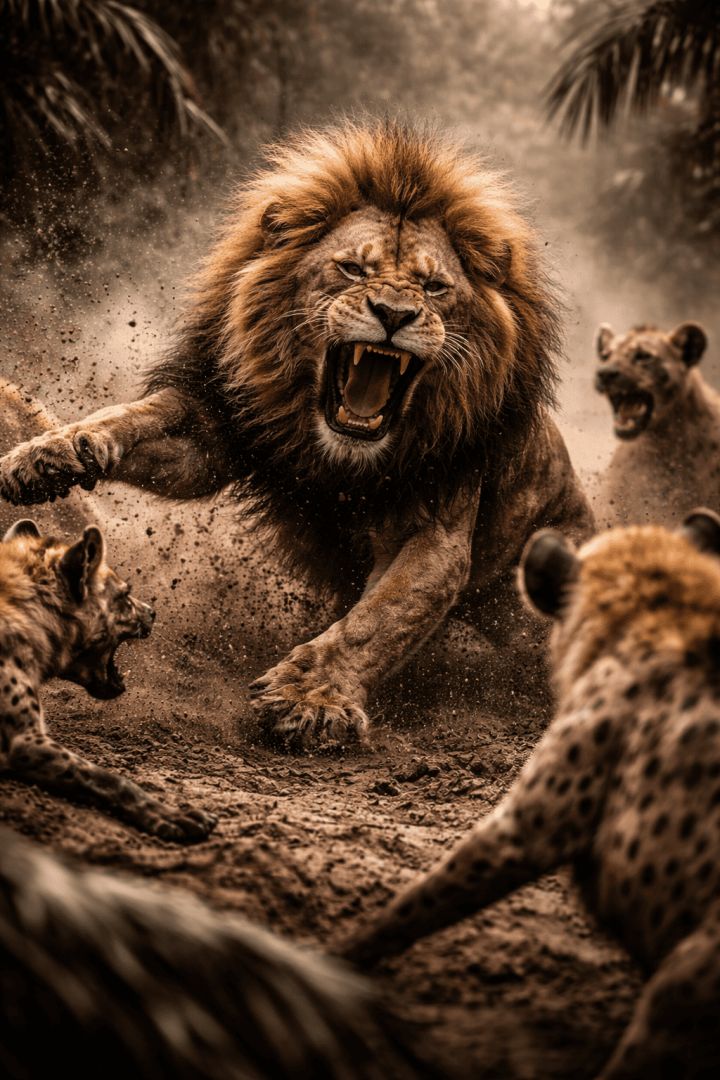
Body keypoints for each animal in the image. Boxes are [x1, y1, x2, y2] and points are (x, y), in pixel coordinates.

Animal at [0, 120, 593, 748]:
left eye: (434, 287)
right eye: (353, 270)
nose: (394, 314)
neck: (337, 452)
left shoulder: (435, 529)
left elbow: (376, 621)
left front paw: (309, 698)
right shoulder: (215, 430)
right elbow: (130, 419)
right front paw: (48, 455)